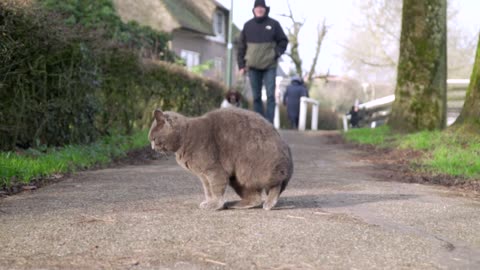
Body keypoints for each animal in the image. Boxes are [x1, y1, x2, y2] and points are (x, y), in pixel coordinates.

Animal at [148, 108, 294, 211]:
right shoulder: (203, 175)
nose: (152, 147)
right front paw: (209, 202)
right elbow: (208, 190)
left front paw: (215, 205)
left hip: (252, 170)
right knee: (255, 198)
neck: (185, 137)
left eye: (154, 139)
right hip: (238, 177)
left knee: (276, 183)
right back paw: (236, 204)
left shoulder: (213, 170)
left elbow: (216, 188)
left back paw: (269, 203)